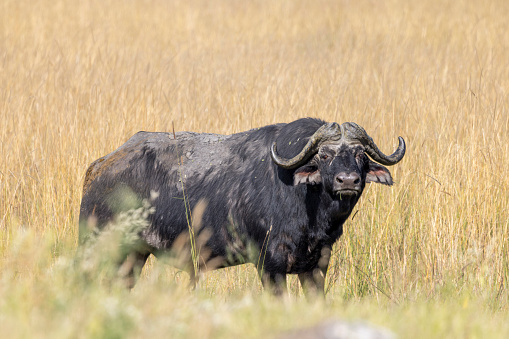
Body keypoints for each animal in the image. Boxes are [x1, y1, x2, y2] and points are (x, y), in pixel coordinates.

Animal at [78, 118, 404, 296]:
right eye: (324, 155)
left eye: (360, 154)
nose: (347, 180)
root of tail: (99, 168)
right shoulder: (269, 266)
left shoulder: (315, 267)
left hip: (133, 256)